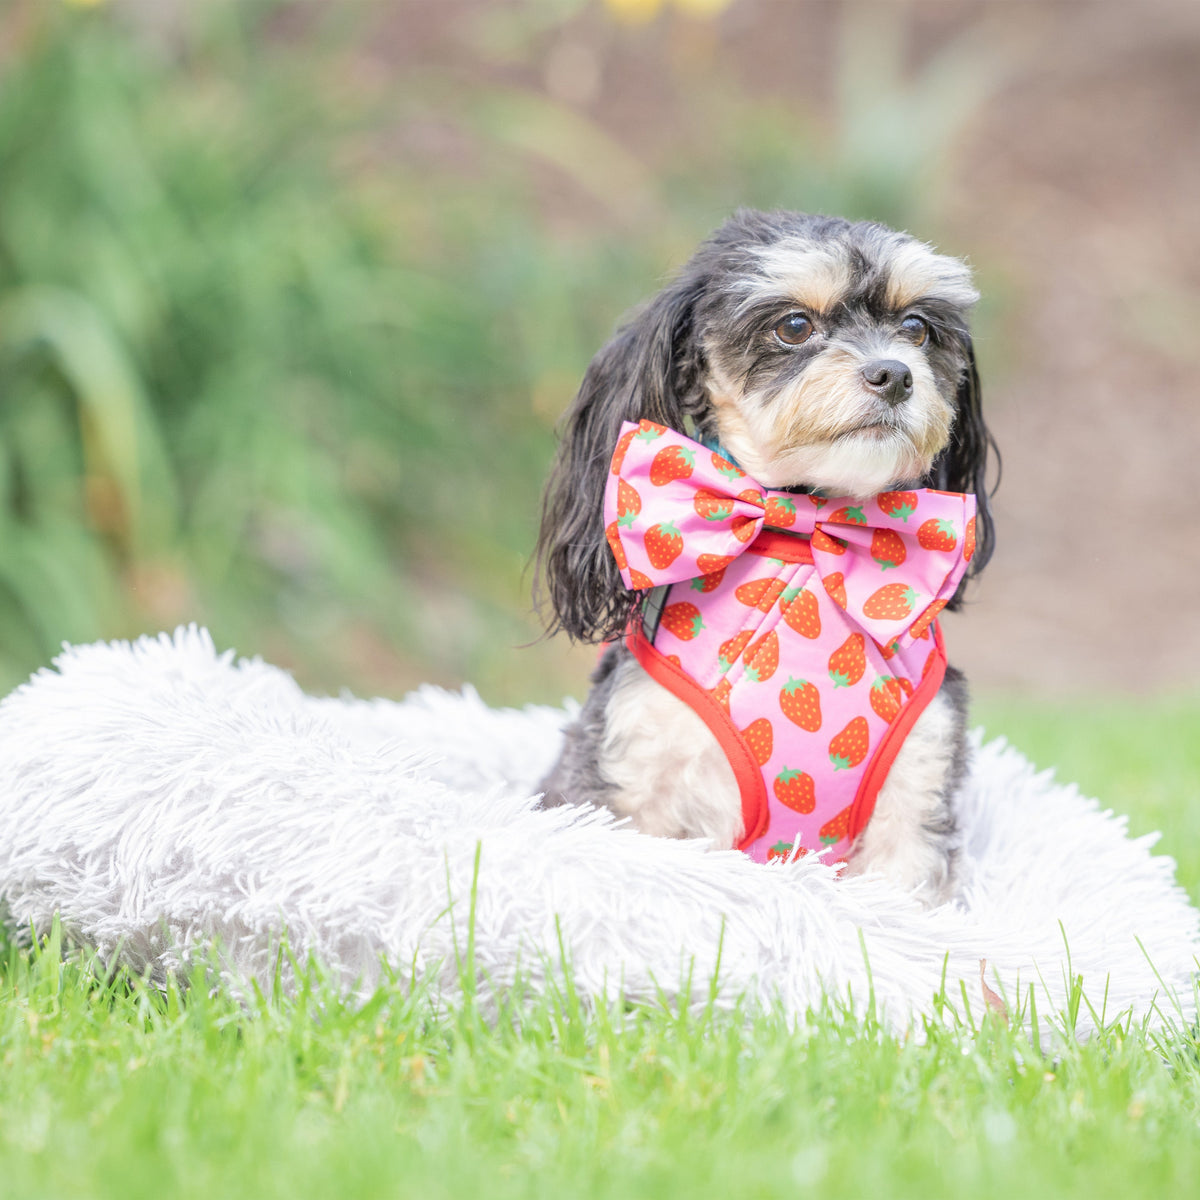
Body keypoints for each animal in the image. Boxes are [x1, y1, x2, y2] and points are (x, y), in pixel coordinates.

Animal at [535, 211, 993, 902]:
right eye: (794, 326)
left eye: (917, 327)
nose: (895, 373)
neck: (805, 537)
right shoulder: (631, 783)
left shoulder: (914, 801)